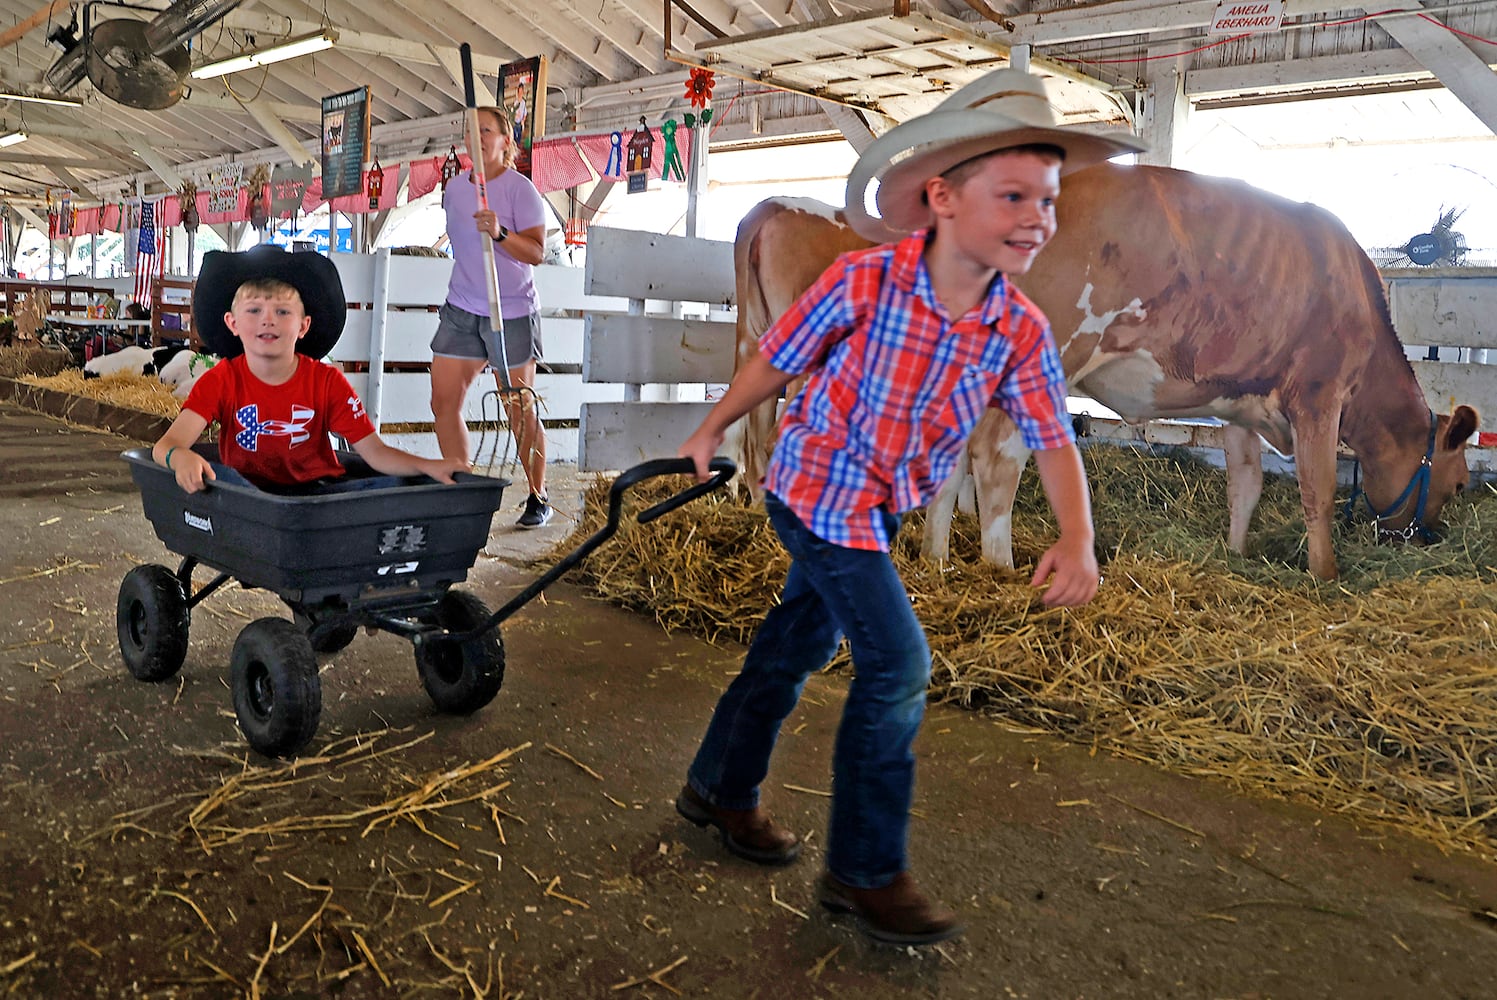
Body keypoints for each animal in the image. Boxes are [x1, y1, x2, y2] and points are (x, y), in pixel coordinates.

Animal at [730, 163, 1479, 577]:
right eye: (1460, 482)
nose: (1429, 538)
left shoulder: (1238, 402)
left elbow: (1244, 485)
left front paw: (1237, 552)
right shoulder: (1318, 397)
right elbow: (1317, 491)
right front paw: (1325, 574)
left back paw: (938, 561)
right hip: (1048, 348)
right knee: (996, 455)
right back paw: (1000, 567)